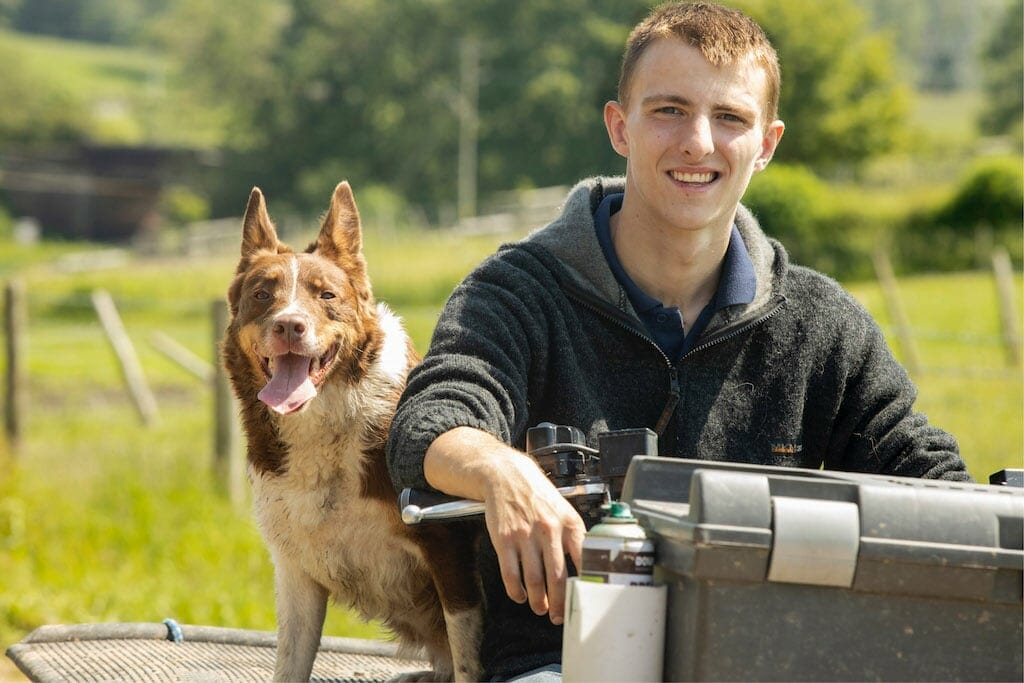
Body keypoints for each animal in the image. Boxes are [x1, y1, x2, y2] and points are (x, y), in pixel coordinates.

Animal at [221, 183, 483, 683]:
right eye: (263, 294)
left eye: (326, 295)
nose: (289, 325)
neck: (324, 421)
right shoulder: (295, 570)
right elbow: (290, 662)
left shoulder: (449, 552)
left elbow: (469, 659)